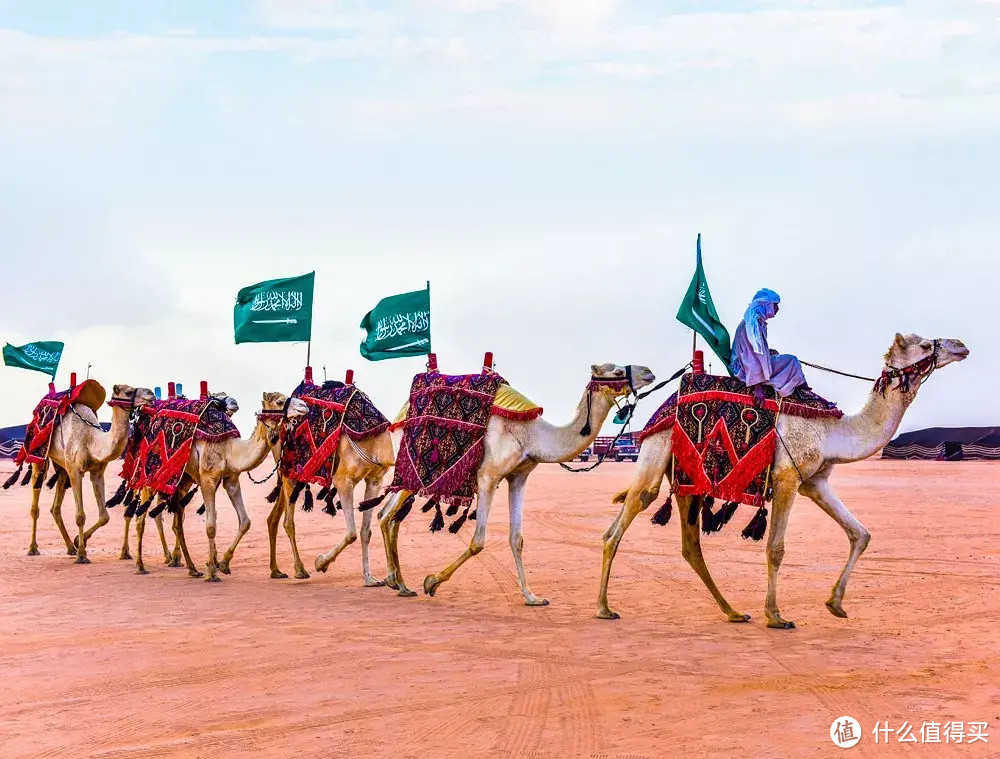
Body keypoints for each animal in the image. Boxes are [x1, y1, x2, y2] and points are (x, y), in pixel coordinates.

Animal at [376, 364, 656, 604]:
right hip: (410, 470)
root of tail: (398, 418)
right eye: (617, 371)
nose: (649, 372)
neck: (533, 435)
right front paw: (432, 581)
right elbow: (478, 541)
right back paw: (395, 581)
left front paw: (532, 597)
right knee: (387, 516)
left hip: (408, 478)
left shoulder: (519, 477)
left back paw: (400, 583)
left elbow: (517, 538)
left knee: (388, 516)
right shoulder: (488, 476)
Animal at [596, 336, 964, 628]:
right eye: (925, 345)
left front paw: (835, 604)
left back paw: (733, 612)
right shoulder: (787, 477)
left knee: (690, 546)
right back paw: (603, 608)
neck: (833, 432)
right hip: (656, 451)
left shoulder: (814, 481)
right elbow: (776, 548)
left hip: (688, 477)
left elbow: (860, 533)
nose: (960, 345)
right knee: (627, 517)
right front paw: (775, 615)